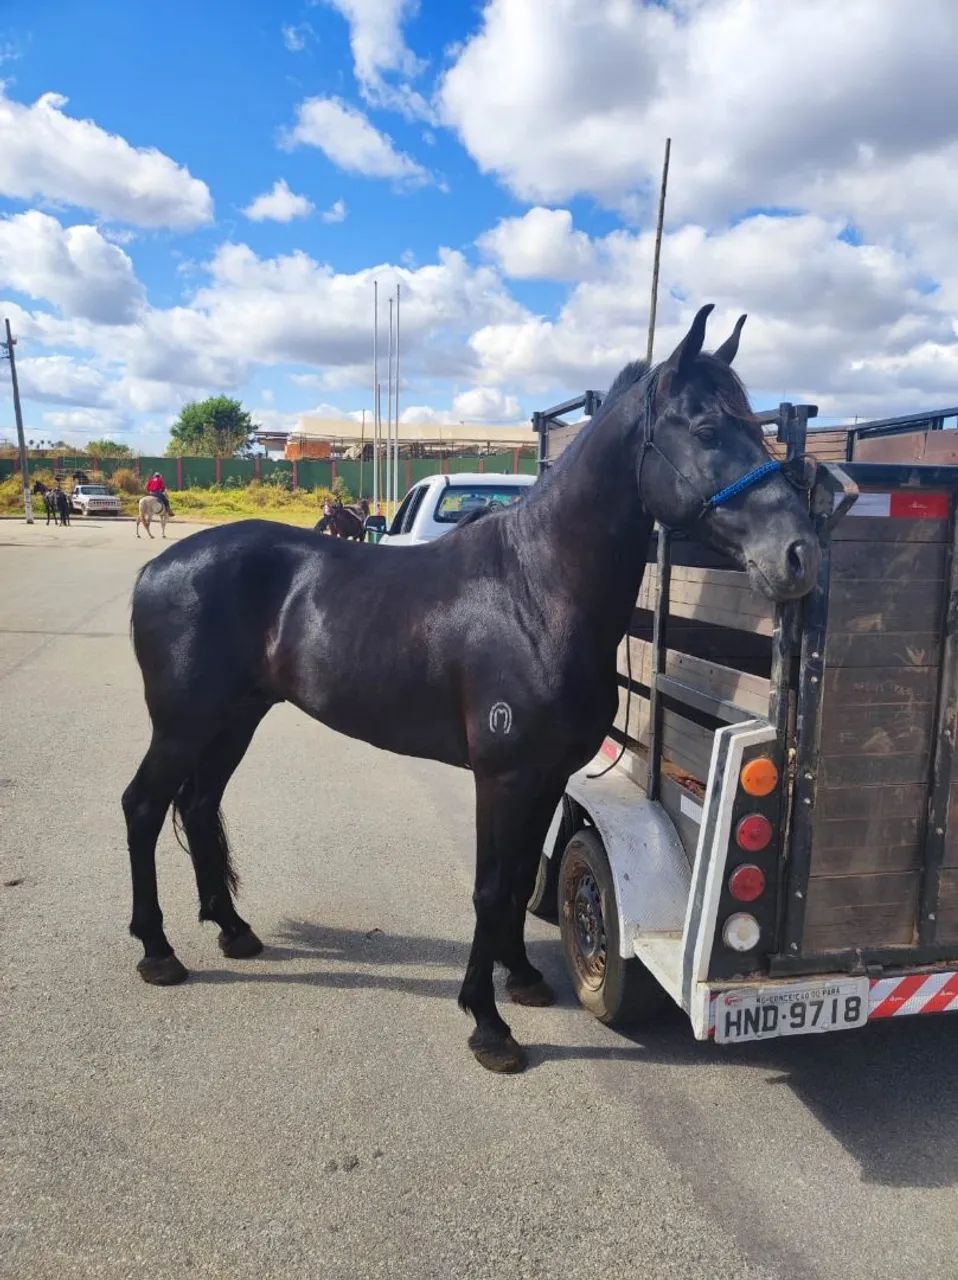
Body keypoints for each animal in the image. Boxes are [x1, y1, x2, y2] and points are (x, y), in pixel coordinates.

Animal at [122, 306, 819, 1074]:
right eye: (705, 428)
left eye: (758, 428)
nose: (799, 554)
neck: (536, 591)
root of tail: (157, 567)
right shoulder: (503, 775)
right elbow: (489, 887)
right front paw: (488, 1025)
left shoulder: (547, 774)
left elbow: (516, 878)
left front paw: (523, 978)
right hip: (182, 725)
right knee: (144, 808)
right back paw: (158, 952)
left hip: (235, 720)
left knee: (198, 805)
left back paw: (233, 929)